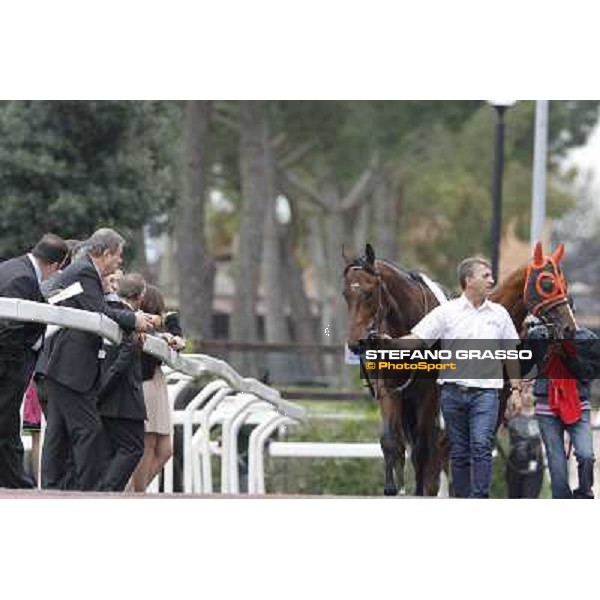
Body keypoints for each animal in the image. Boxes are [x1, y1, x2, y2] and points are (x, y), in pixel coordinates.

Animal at [342, 244, 446, 496]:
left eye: (370, 292)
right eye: (345, 294)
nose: (356, 343)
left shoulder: (428, 394)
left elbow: (421, 450)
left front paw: (419, 491)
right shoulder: (389, 391)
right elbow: (390, 442)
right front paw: (390, 488)